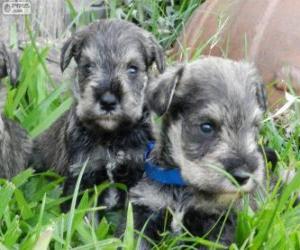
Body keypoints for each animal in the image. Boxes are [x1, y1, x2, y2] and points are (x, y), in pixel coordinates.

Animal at [33, 19, 165, 209]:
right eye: (88, 67)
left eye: (132, 69)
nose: (108, 101)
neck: (111, 137)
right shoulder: (81, 174)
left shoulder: (136, 172)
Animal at [127, 57, 268, 248]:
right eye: (206, 127)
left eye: (254, 127)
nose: (243, 176)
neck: (184, 185)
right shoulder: (144, 209)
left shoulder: (216, 221)